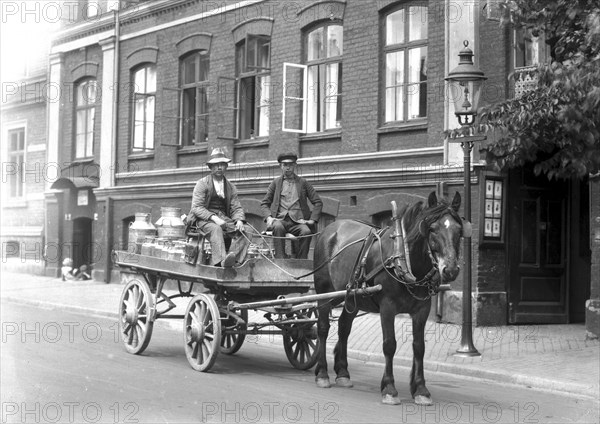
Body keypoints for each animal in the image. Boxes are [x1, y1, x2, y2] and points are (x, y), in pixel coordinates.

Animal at [312, 191, 466, 404]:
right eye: (433, 229)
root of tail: (329, 229)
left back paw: (342, 373)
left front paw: (421, 389)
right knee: (323, 328)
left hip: (351, 296)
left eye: (459, 230)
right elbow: (389, 345)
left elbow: (419, 347)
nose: (450, 270)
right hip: (325, 293)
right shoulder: (387, 306)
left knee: (343, 327)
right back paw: (322, 374)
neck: (404, 260)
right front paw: (390, 388)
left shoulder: (422, 309)